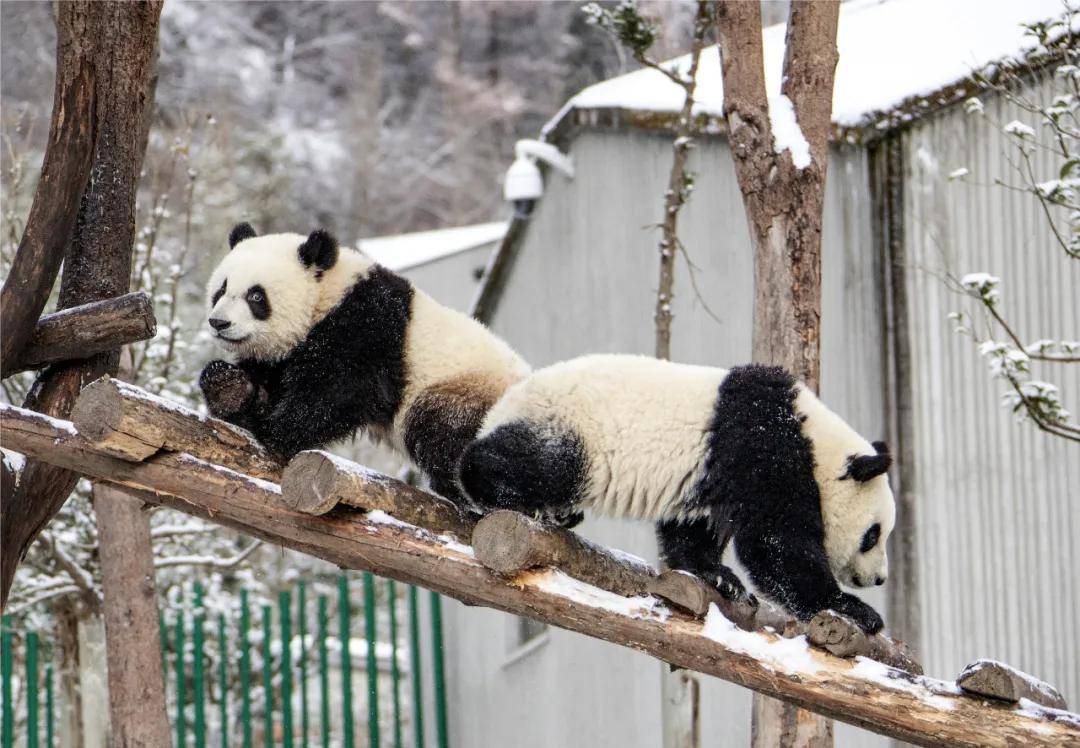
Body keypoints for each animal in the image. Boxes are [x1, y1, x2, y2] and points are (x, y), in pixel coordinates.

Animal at [199, 220, 531, 500]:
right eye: (221, 289)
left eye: (256, 296)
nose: (219, 323)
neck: (330, 295)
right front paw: (227, 387)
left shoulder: (365, 328)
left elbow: (339, 391)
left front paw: (275, 430)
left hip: (467, 394)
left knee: (443, 434)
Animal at [460, 354, 898, 634]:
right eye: (873, 534)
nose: (879, 578)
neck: (813, 440)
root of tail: (503, 405)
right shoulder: (763, 446)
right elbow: (776, 546)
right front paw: (855, 610)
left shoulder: (705, 477)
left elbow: (695, 531)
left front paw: (719, 578)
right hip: (567, 428)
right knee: (538, 464)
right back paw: (498, 490)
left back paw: (560, 513)